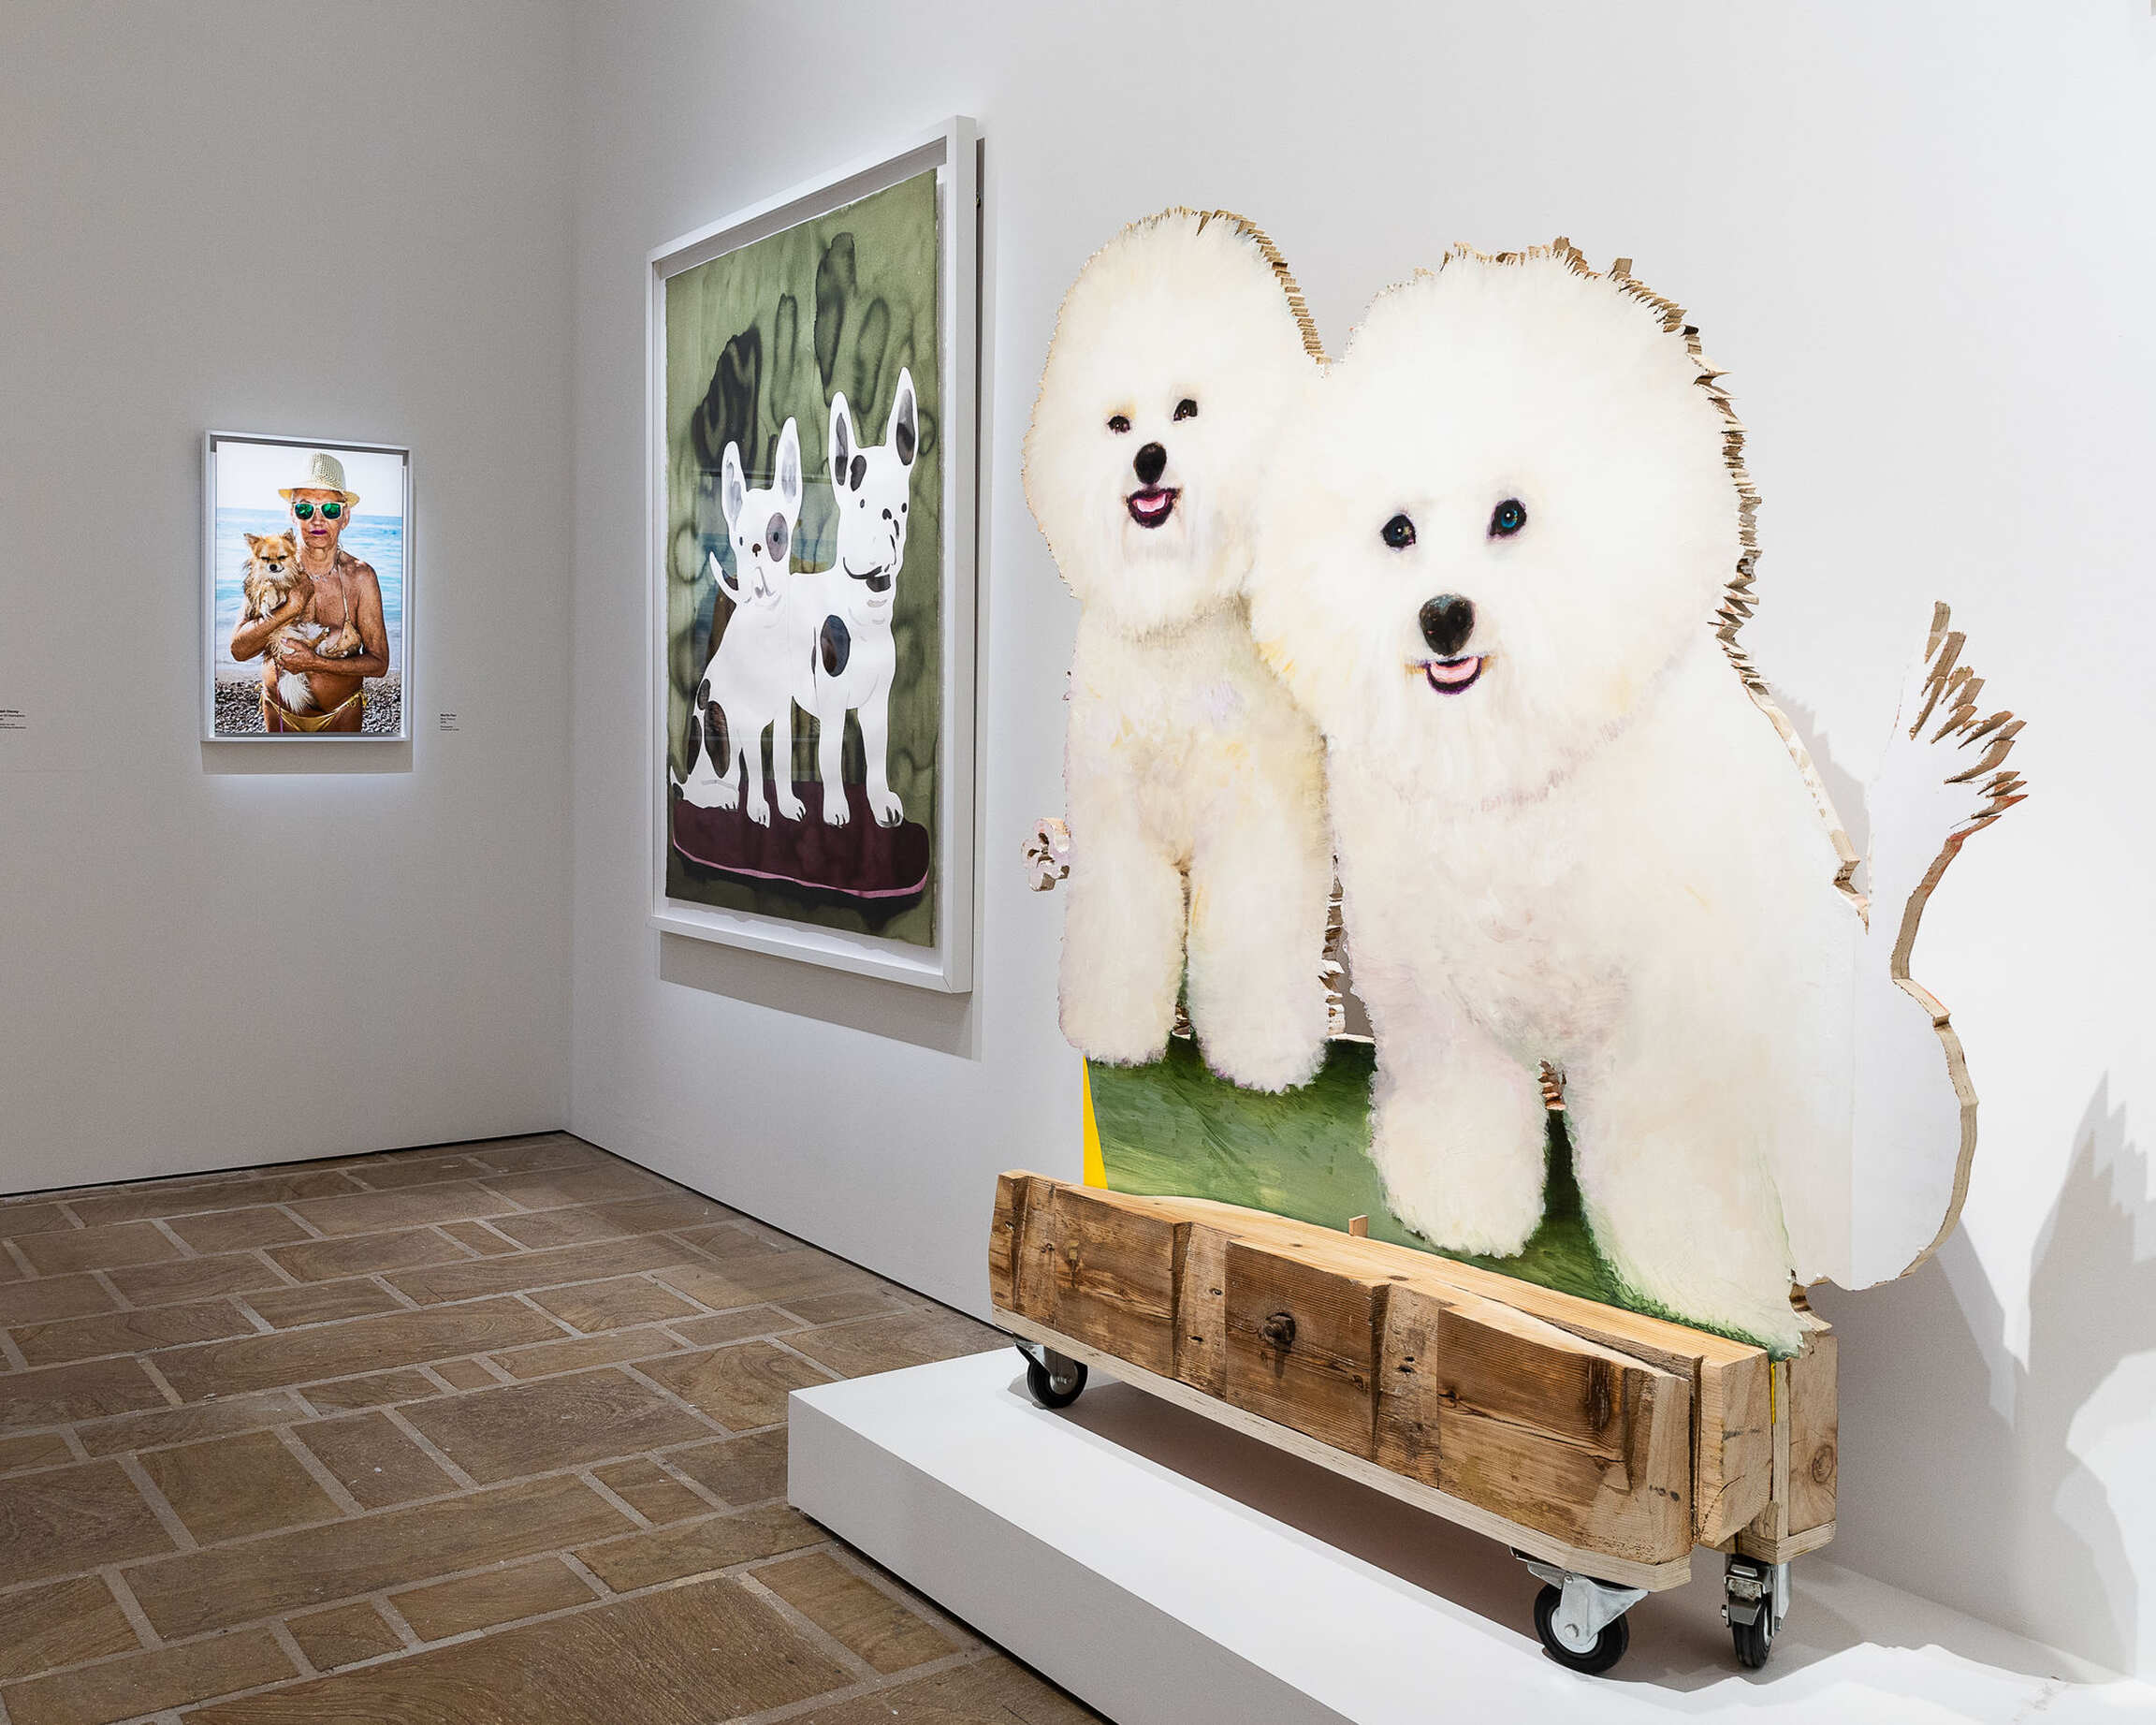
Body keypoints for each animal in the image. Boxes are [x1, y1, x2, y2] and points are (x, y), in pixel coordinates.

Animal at [677, 420, 807, 826]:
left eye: (777, 535)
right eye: (737, 539)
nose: (755, 548)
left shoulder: (781, 715)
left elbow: (781, 763)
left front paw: (788, 805)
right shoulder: (746, 721)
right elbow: (756, 766)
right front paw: (760, 809)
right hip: (716, 735)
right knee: (716, 783)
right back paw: (725, 800)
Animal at [795, 371, 919, 827]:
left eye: (902, 507)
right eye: (859, 502)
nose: (881, 551)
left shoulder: (878, 704)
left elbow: (878, 758)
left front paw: (881, 802)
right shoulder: (832, 706)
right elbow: (831, 756)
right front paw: (835, 807)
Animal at [1024, 209, 1334, 1093]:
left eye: (1188, 409)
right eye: (1119, 423)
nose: (1148, 459)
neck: (1176, 628)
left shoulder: (1258, 829)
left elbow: (1256, 944)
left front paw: (1266, 1059)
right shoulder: (1119, 828)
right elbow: (1122, 934)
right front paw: (1114, 1034)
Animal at [1246, 243, 2020, 1352]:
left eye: (1511, 516)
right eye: (1396, 531)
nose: (1442, 616)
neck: (1517, 769)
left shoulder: (1672, 1031)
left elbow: (1674, 1163)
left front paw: (1698, 1294)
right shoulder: (1435, 1000)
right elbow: (1463, 1103)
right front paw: (1464, 1215)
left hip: (1873, 1085)